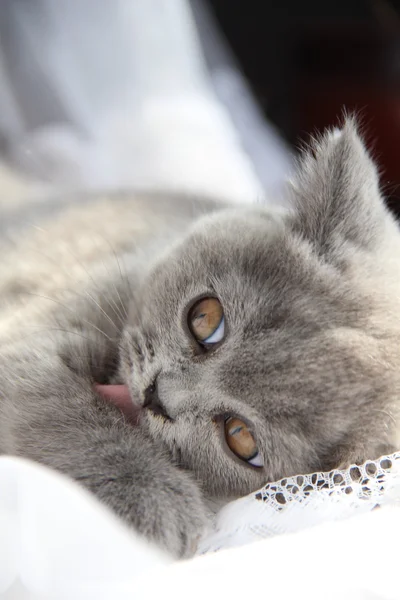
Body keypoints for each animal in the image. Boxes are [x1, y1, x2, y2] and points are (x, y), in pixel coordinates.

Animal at [0, 119, 400, 556]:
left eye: (241, 438)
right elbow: (64, 410)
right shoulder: (35, 334)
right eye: (206, 319)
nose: (158, 396)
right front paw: (148, 495)